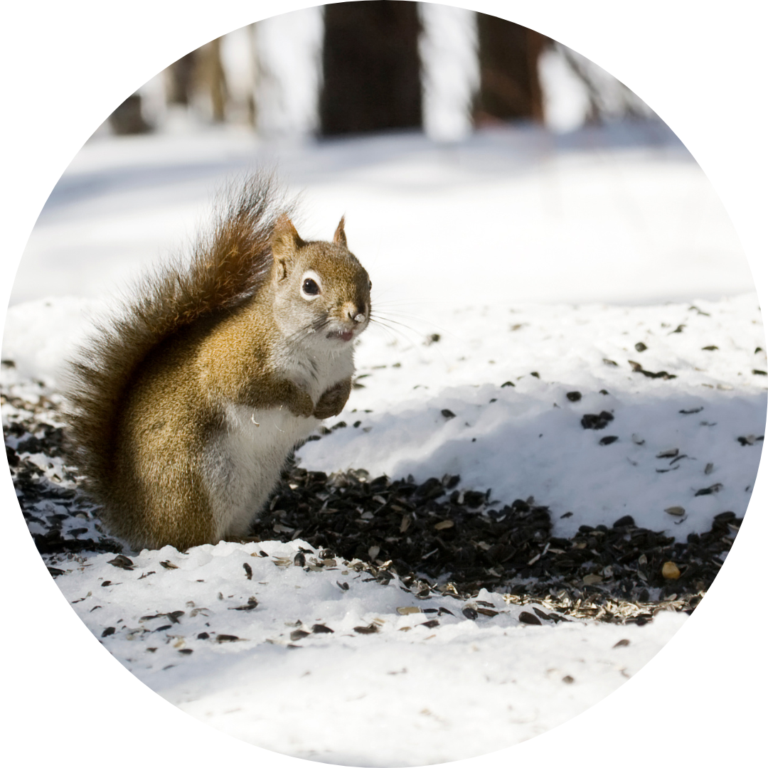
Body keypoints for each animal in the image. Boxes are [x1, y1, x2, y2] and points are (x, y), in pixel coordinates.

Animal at [64, 175, 371, 551]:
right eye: (310, 286)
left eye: (368, 279)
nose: (356, 314)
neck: (321, 353)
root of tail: (135, 520)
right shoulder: (231, 362)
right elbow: (259, 390)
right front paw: (300, 402)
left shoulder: (341, 370)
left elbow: (343, 390)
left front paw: (331, 406)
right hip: (193, 487)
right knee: (192, 538)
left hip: (253, 490)